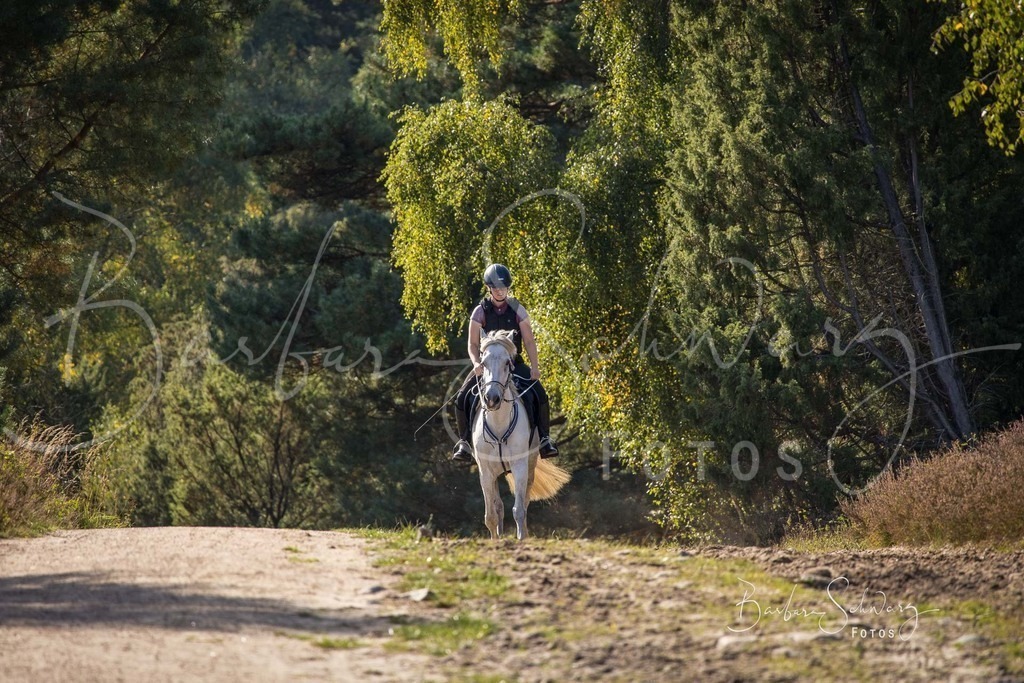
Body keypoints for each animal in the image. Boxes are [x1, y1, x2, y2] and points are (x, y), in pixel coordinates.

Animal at [472, 329, 570, 540]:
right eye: (483, 363)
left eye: (507, 363)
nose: (492, 399)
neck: (499, 422)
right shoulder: (485, 470)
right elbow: (490, 515)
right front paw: (495, 541)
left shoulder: (519, 466)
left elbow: (519, 510)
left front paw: (521, 539)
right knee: (498, 506)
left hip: (530, 465)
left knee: (524, 502)